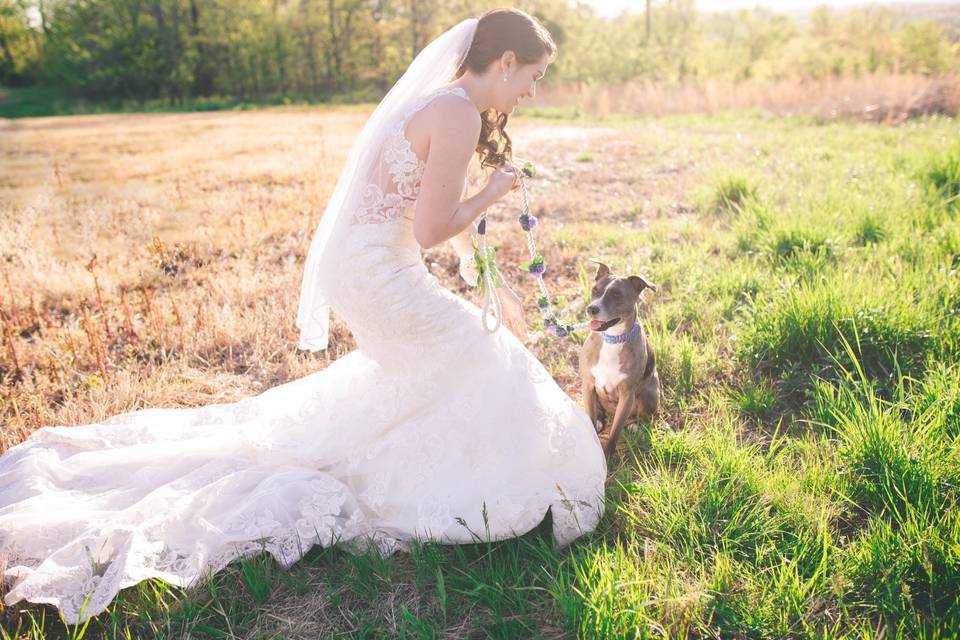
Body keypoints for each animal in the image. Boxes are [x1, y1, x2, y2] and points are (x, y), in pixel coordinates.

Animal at [576, 258, 660, 456]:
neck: (612, 339)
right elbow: (591, 417)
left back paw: (635, 426)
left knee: (642, 416)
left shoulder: (626, 394)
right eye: (595, 290)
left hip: (649, 395)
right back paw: (600, 419)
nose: (591, 308)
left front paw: (606, 455)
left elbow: (615, 431)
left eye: (616, 295)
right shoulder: (588, 384)